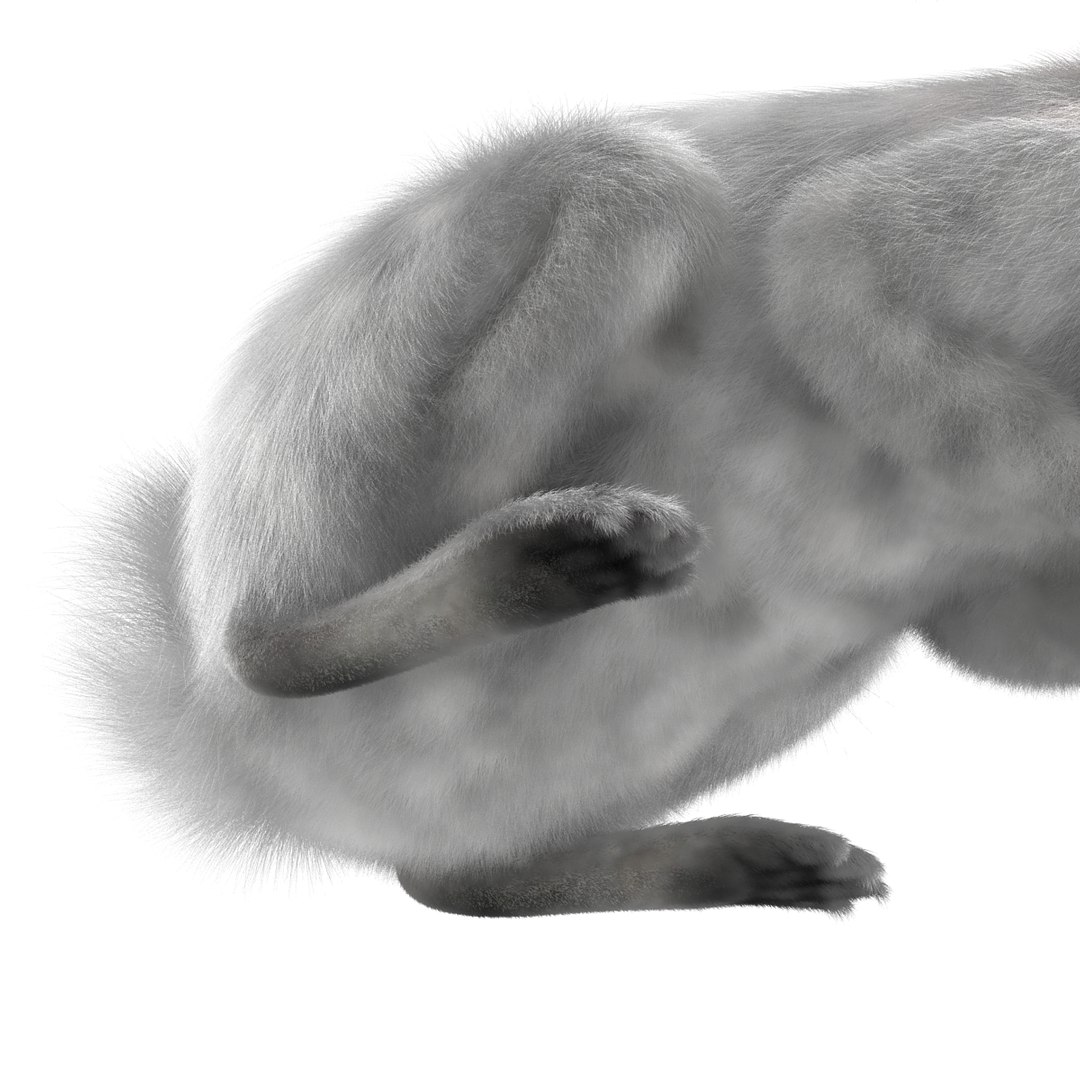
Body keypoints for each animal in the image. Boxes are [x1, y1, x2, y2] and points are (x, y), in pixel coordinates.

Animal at [71, 57, 1080, 916]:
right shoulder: (930, 218)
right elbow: (839, 239)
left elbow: (997, 628)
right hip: (548, 244)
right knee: (263, 648)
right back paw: (544, 554)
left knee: (445, 878)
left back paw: (729, 859)